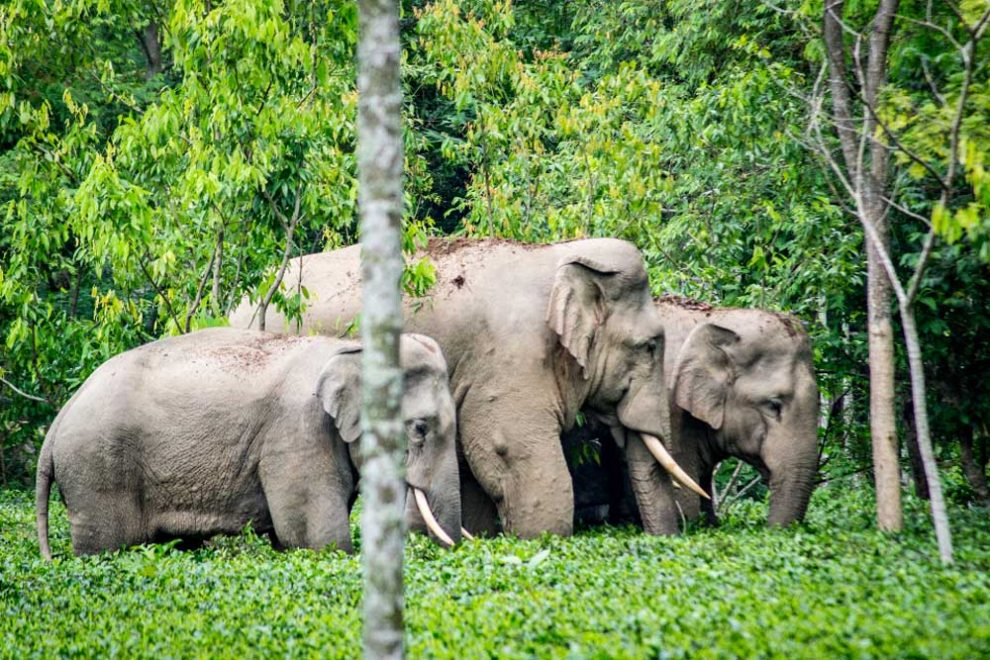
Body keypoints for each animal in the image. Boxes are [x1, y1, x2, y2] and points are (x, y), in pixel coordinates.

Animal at [34, 328, 462, 556]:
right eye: (419, 428)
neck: (352, 348)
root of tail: (62, 415)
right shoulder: (297, 433)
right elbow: (316, 537)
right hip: (97, 468)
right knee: (107, 547)